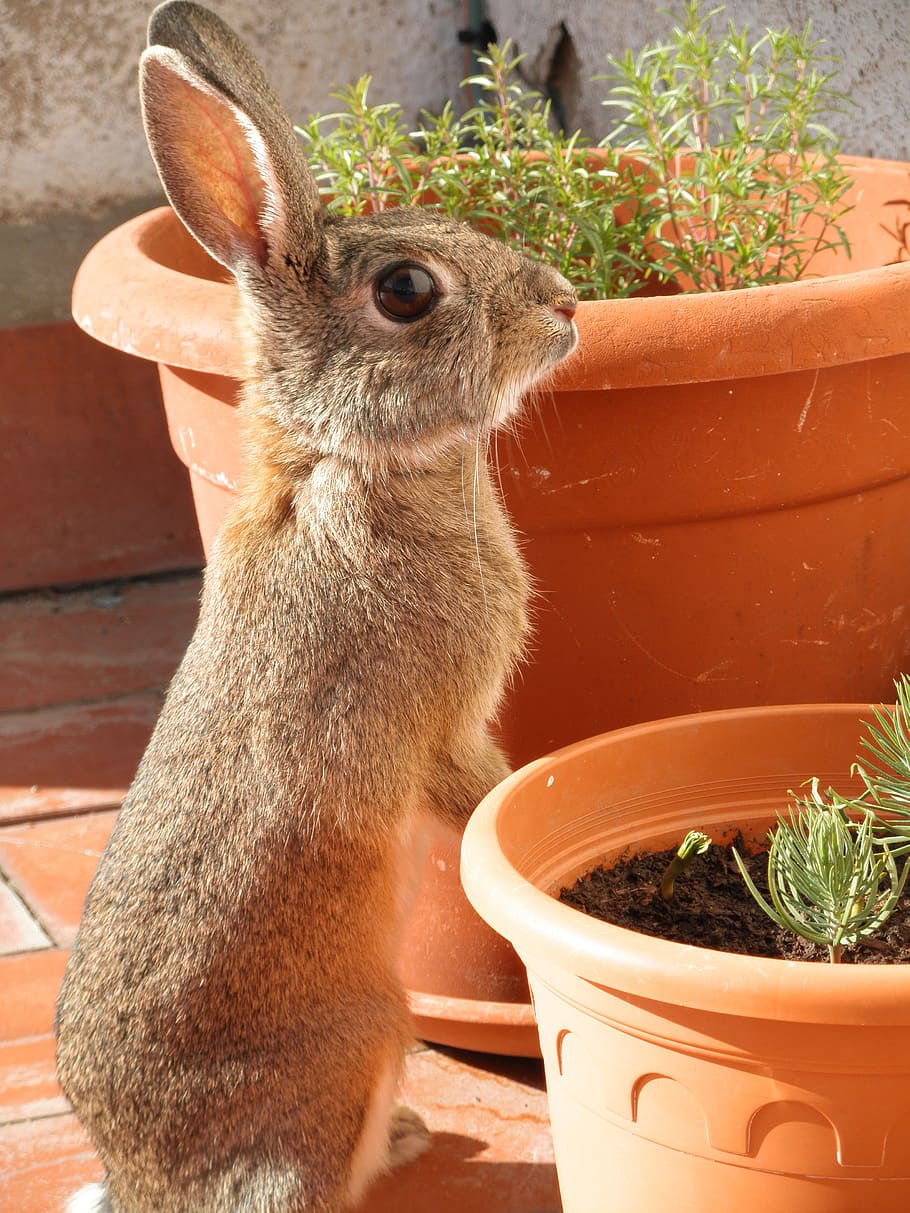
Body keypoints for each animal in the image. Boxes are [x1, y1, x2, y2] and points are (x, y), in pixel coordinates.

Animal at [54, 3, 578, 1211]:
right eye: (407, 292)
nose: (565, 304)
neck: (351, 461)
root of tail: (145, 1185)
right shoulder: (438, 724)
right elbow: (479, 793)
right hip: (352, 1053)